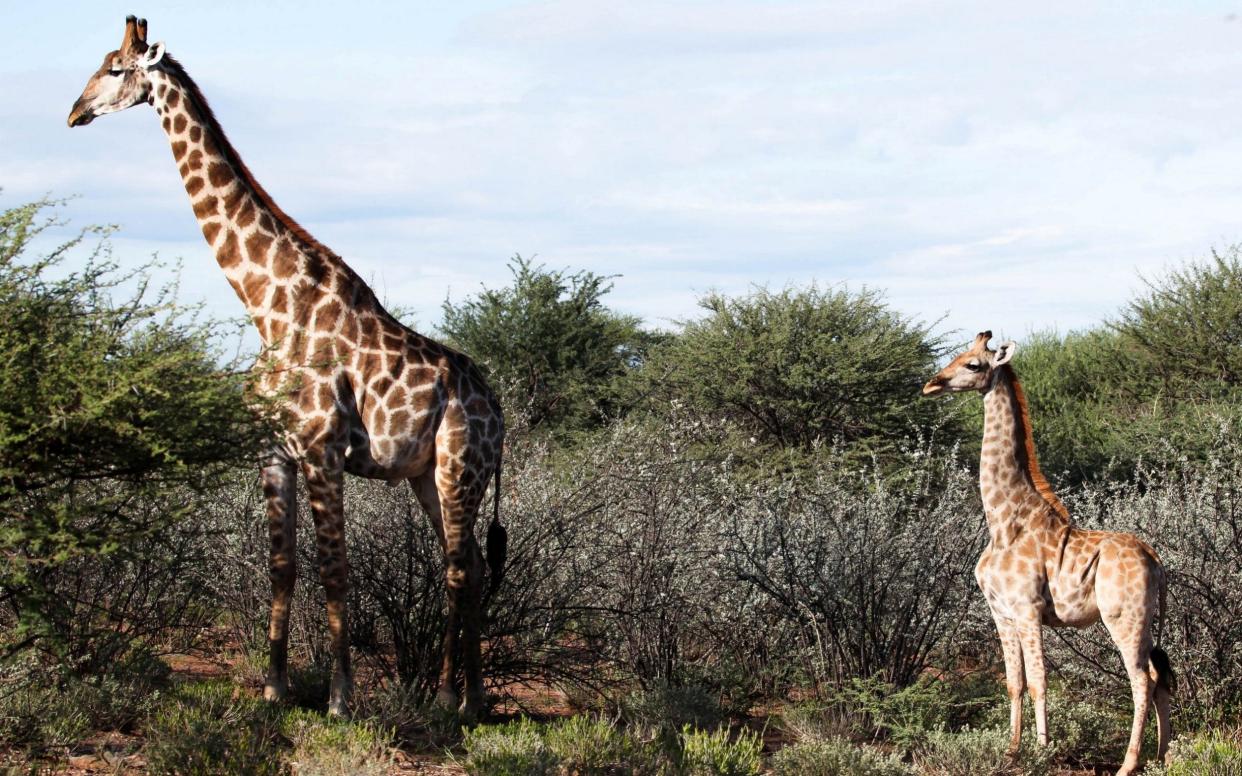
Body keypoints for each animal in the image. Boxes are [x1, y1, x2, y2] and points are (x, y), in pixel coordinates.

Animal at [69, 15, 509, 715]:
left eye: (114, 69)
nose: (74, 112)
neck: (267, 306)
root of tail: (498, 410)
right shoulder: (273, 452)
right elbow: (282, 566)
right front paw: (274, 688)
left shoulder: (323, 450)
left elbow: (335, 569)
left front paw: (339, 697)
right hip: (426, 475)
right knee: (462, 564)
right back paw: (471, 699)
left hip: (458, 466)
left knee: (459, 568)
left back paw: (449, 698)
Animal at [924, 330, 1172, 774]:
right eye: (958, 355)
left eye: (973, 364)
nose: (932, 384)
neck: (1003, 521)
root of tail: (1156, 561)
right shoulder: (1001, 612)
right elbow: (1014, 682)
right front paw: (1010, 750)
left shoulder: (1027, 609)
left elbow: (1040, 682)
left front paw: (1041, 751)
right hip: (1142, 621)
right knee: (1160, 679)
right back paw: (1160, 758)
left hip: (1124, 618)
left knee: (1141, 680)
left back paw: (1128, 764)